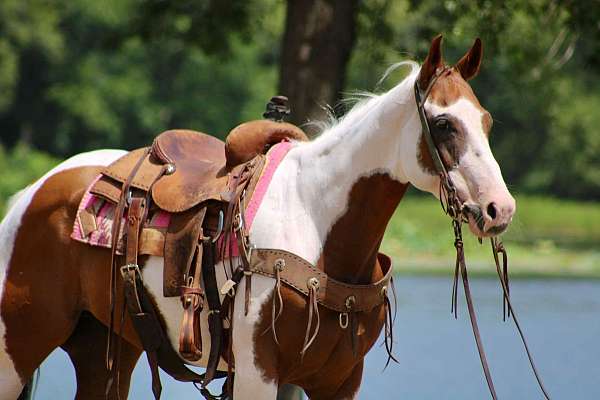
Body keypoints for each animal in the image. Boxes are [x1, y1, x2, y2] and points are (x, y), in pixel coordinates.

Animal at [1, 35, 516, 400]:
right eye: (444, 123)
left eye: (487, 122)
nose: (500, 209)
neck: (316, 217)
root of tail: (34, 191)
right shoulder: (257, 376)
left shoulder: (339, 381)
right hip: (17, 346)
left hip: (104, 349)